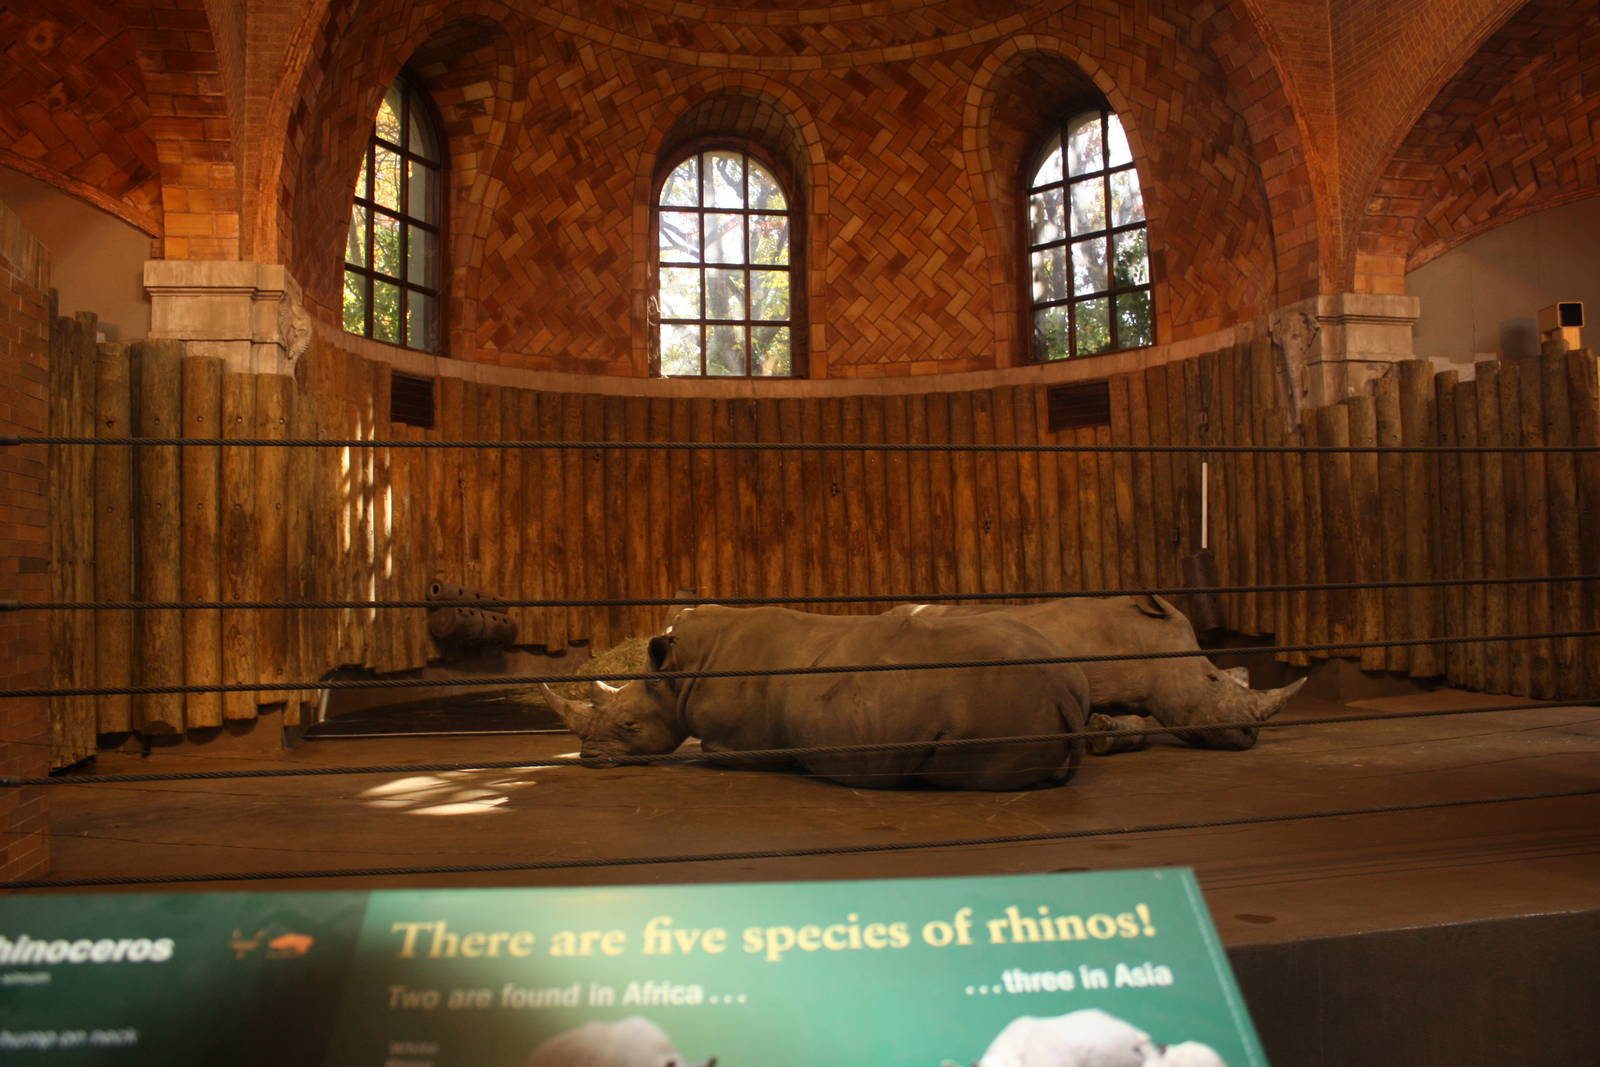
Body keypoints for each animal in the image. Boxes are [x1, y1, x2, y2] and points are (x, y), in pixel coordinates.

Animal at [541, 604, 1091, 790]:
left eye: (629, 726)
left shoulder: (740, 742)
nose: (589, 759)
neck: (677, 674)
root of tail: (1061, 689)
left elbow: (715, 752)